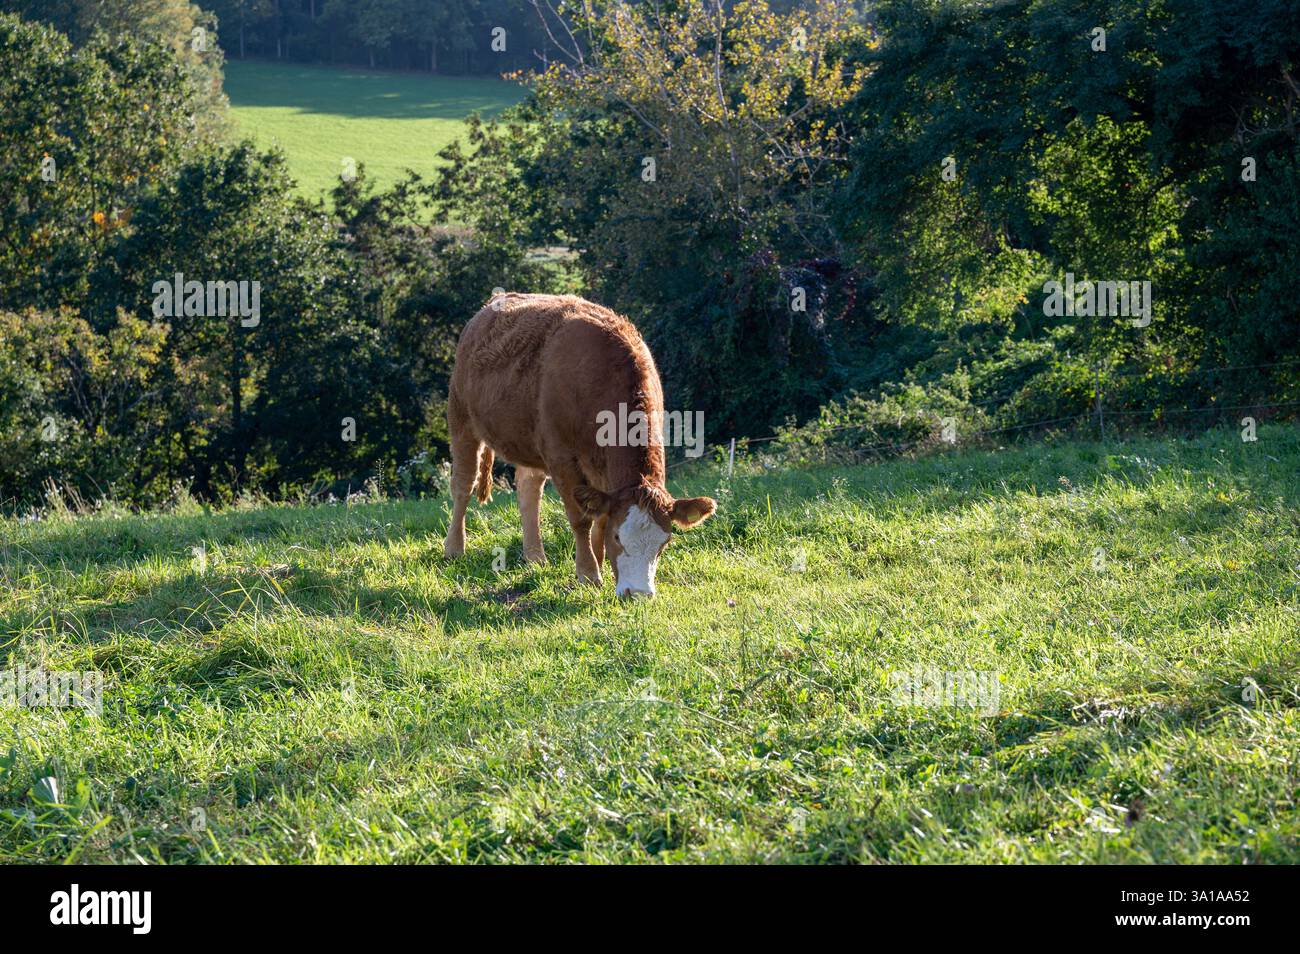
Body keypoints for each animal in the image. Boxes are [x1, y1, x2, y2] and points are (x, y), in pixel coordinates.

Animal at [442, 293, 716, 598]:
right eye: (618, 537)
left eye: (664, 542)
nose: (638, 593)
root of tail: (496, 301)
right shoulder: (562, 457)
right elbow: (581, 518)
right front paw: (588, 572)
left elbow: (601, 517)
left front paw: (600, 560)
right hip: (461, 418)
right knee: (463, 484)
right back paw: (454, 548)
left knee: (528, 488)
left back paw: (535, 556)